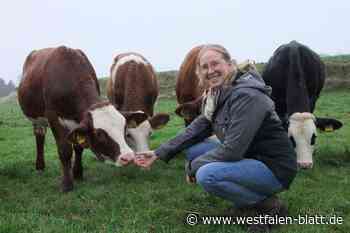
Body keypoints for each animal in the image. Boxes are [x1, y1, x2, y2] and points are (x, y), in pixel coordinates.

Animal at [18, 46, 148, 191]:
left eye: (124, 129)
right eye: (99, 134)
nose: (128, 157)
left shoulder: (78, 122)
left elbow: (78, 147)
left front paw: (77, 173)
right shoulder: (53, 117)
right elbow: (65, 150)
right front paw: (67, 184)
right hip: (37, 118)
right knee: (39, 135)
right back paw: (40, 166)